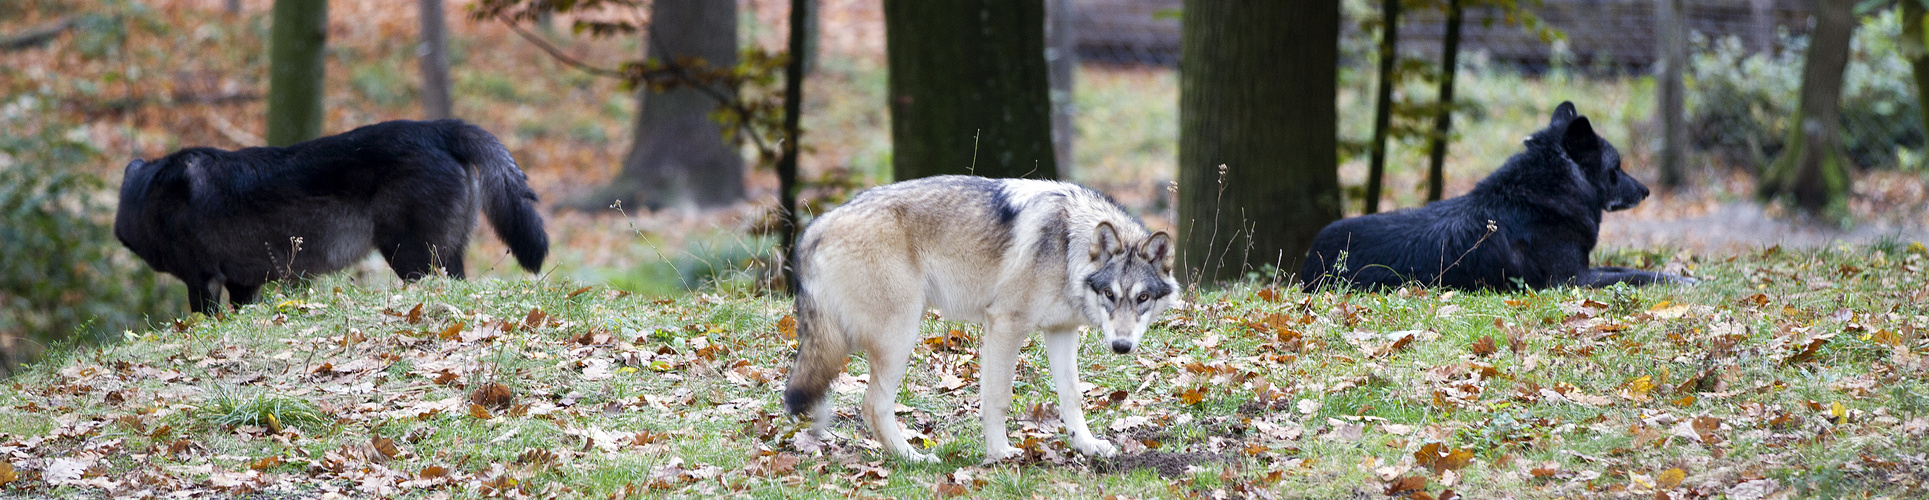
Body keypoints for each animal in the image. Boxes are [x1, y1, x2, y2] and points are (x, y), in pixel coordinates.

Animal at [116, 120, 547, 316]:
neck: (149, 199)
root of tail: (439, 128)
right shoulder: (244, 283)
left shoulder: (203, 279)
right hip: (446, 256)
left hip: (412, 258)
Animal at [779, 175, 1172, 463]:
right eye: (1110, 295)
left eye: (1142, 298)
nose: (1121, 345)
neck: (1068, 247)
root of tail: (813, 230)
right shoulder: (1004, 325)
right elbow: (998, 398)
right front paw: (1000, 453)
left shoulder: (1061, 331)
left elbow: (1072, 396)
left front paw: (1086, 446)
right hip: (900, 336)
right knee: (873, 406)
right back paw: (913, 459)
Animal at [1296, 101, 1689, 289]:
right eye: (1617, 168)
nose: (1646, 191)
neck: (1545, 196)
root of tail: (1309, 260)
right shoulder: (1572, 281)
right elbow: (1638, 276)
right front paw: (1683, 280)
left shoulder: (1586, 269)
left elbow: (1626, 267)